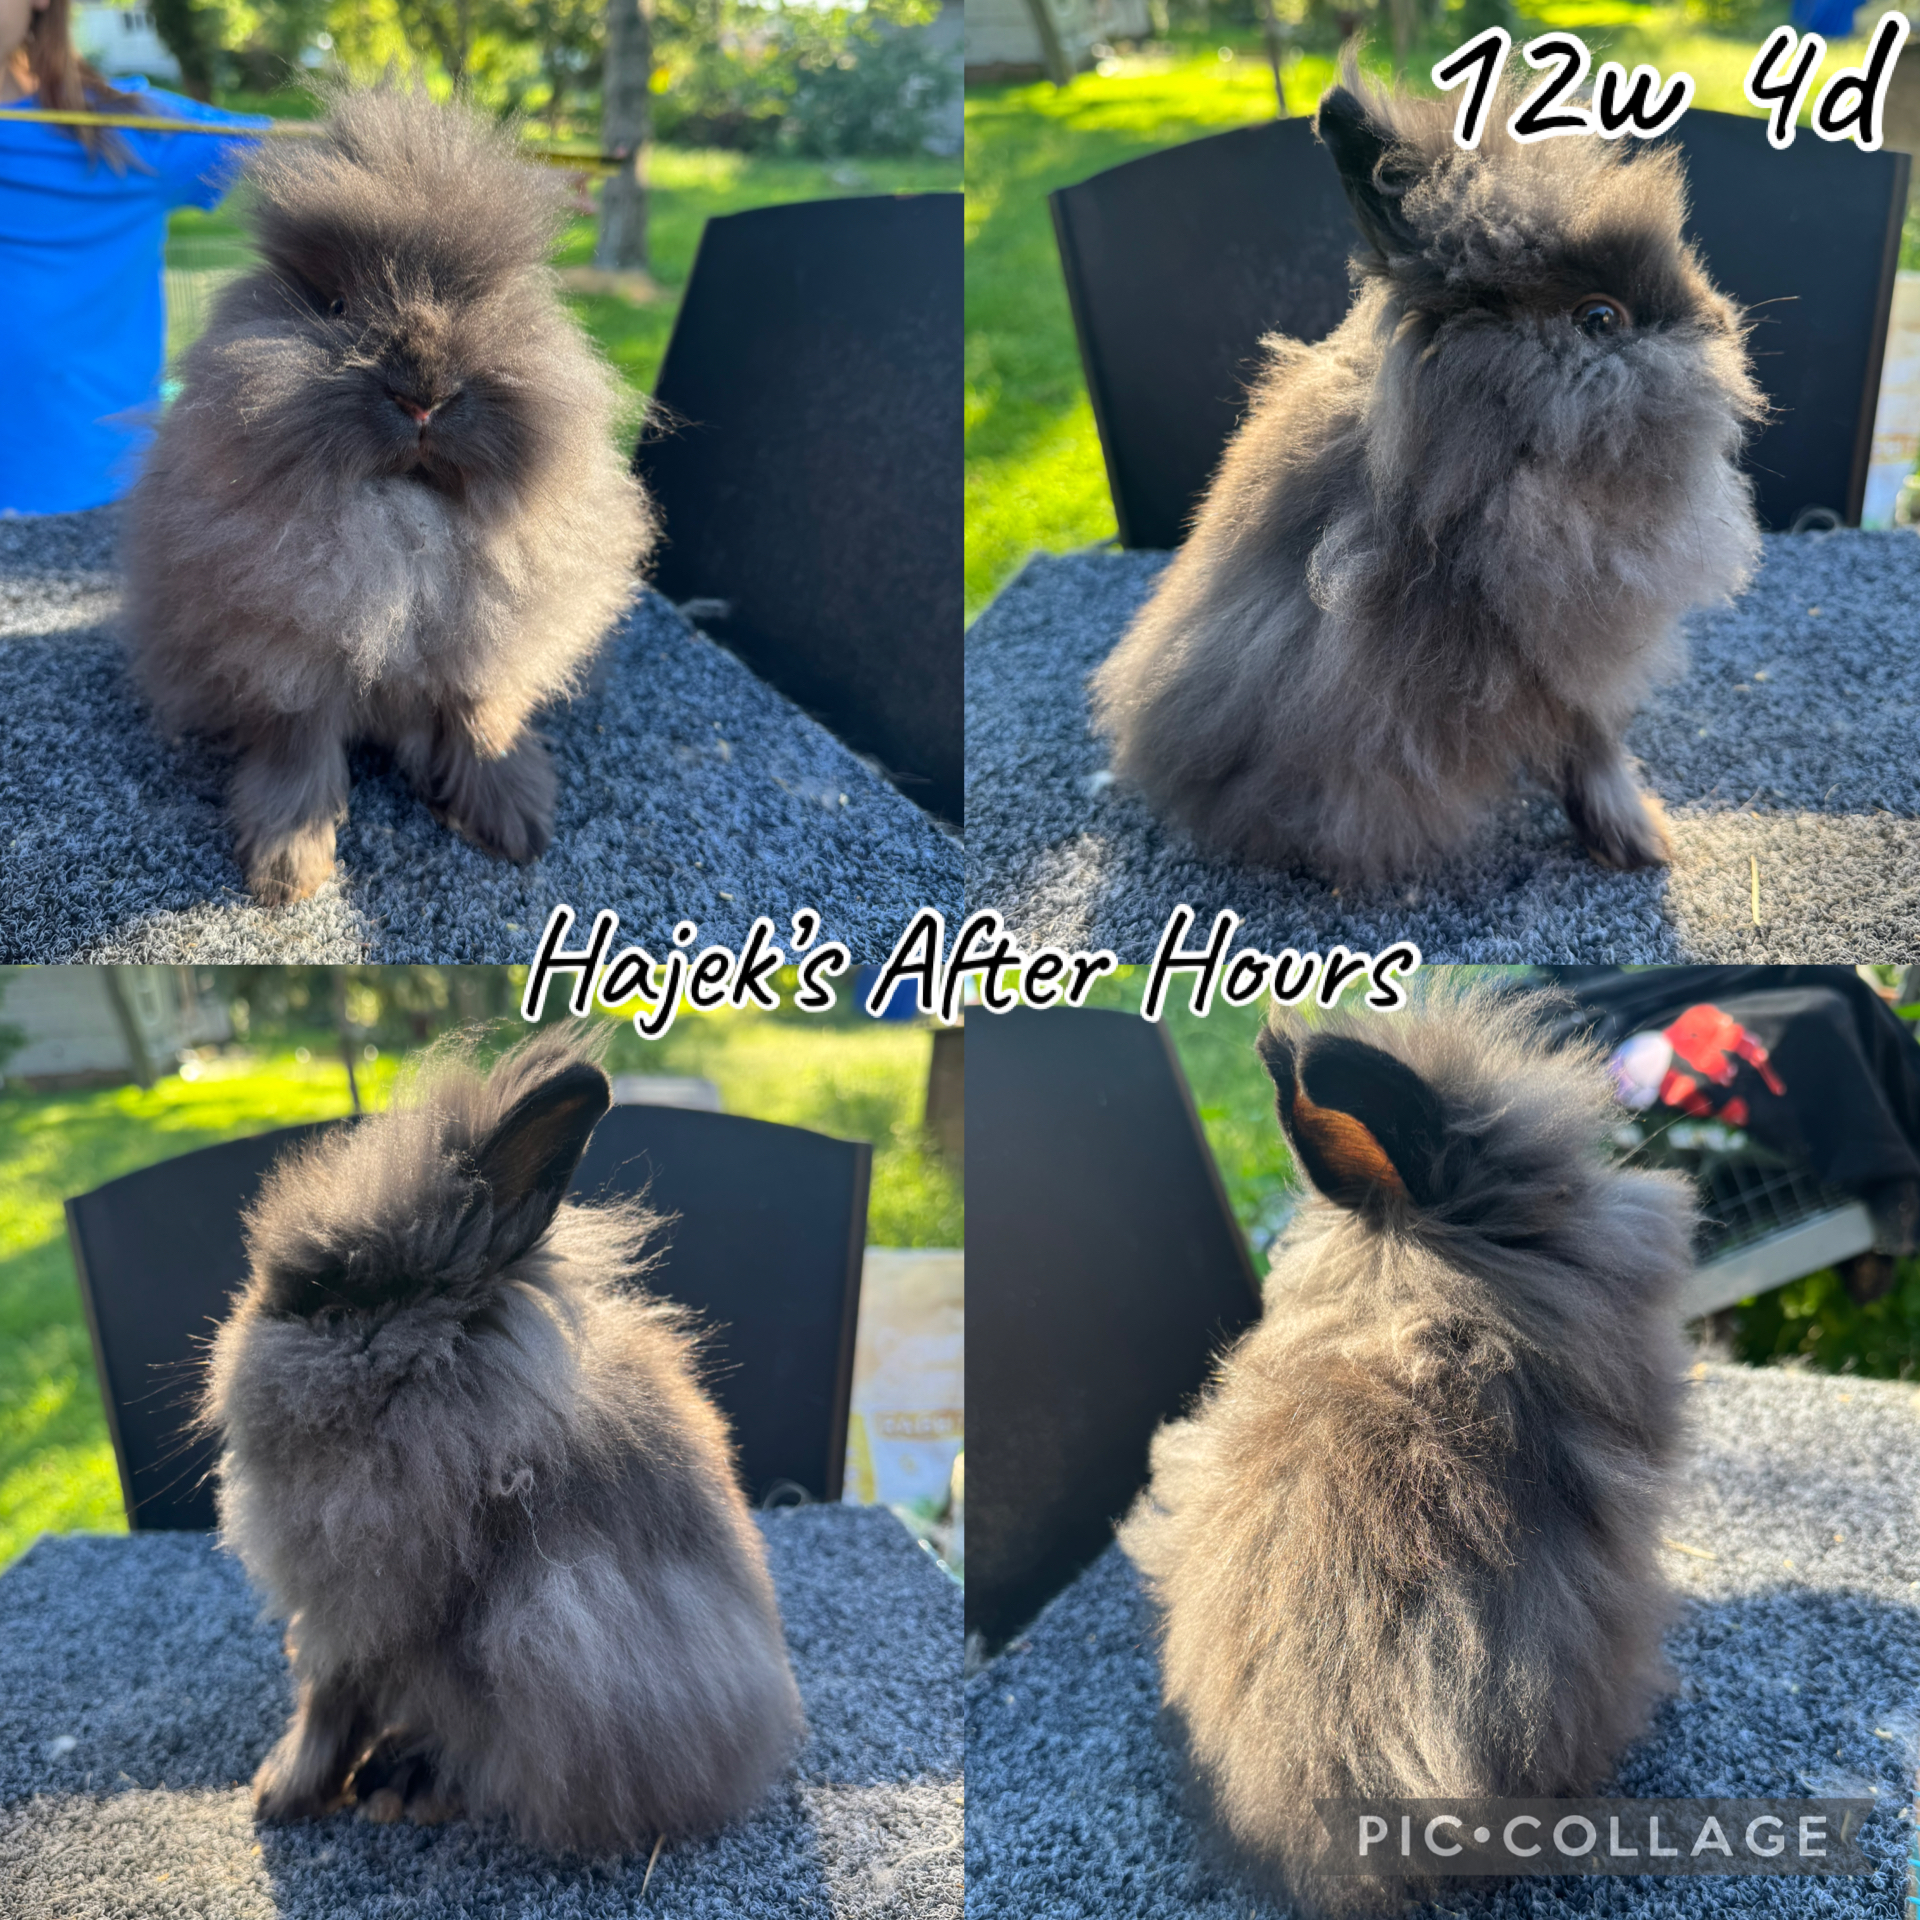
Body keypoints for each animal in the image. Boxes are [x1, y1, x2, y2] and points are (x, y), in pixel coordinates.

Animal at [123, 85, 654, 906]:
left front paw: (515, 824)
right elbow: (299, 747)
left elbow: (482, 719)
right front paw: (287, 867)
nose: (423, 396)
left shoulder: (488, 644)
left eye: (480, 301)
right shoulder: (286, 656)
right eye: (339, 306)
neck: (406, 518)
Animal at [198, 1027, 806, 1852]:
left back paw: (408, 1782)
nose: (238, 1342)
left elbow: (328, 1703)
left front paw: (280, 1792)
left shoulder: (355, 1611)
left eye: (333, 1298)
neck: (435, 1389)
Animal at [1089, 68, 1764, 885]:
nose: (1722, 322)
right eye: (1600, 319)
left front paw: (1635, 843)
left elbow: (1592, 750)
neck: (1492, 480)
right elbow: (1593, 750)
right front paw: (1640, 843)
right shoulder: (1562, 658)